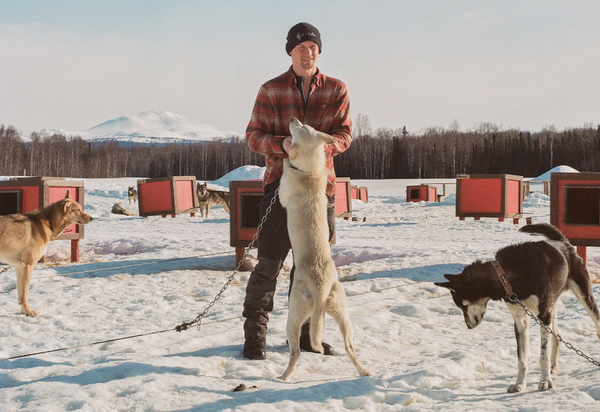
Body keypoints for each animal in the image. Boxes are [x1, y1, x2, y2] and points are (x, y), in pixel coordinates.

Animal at [278, 117, 368, 382]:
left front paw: (284, 157)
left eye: (300, 128)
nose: (294, 118)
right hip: (342, 314)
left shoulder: (283, 193)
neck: (308, 171)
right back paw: (363, 371)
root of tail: (321, 287)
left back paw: (283, 377)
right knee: (350, 347)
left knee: (295, 351)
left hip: (293, 314)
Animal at [436, 222, 600, 392]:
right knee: (557, 336)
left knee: (597, 325)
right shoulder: (520, 320)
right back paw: (553, 365)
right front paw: (519, 384)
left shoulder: (543, 316)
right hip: (552, 306)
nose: (468, 326)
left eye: (462, 305)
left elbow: (543, 355)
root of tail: (563, 242)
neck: (508, 277)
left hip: (584, 296)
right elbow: (522, 358)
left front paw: (545, 381)